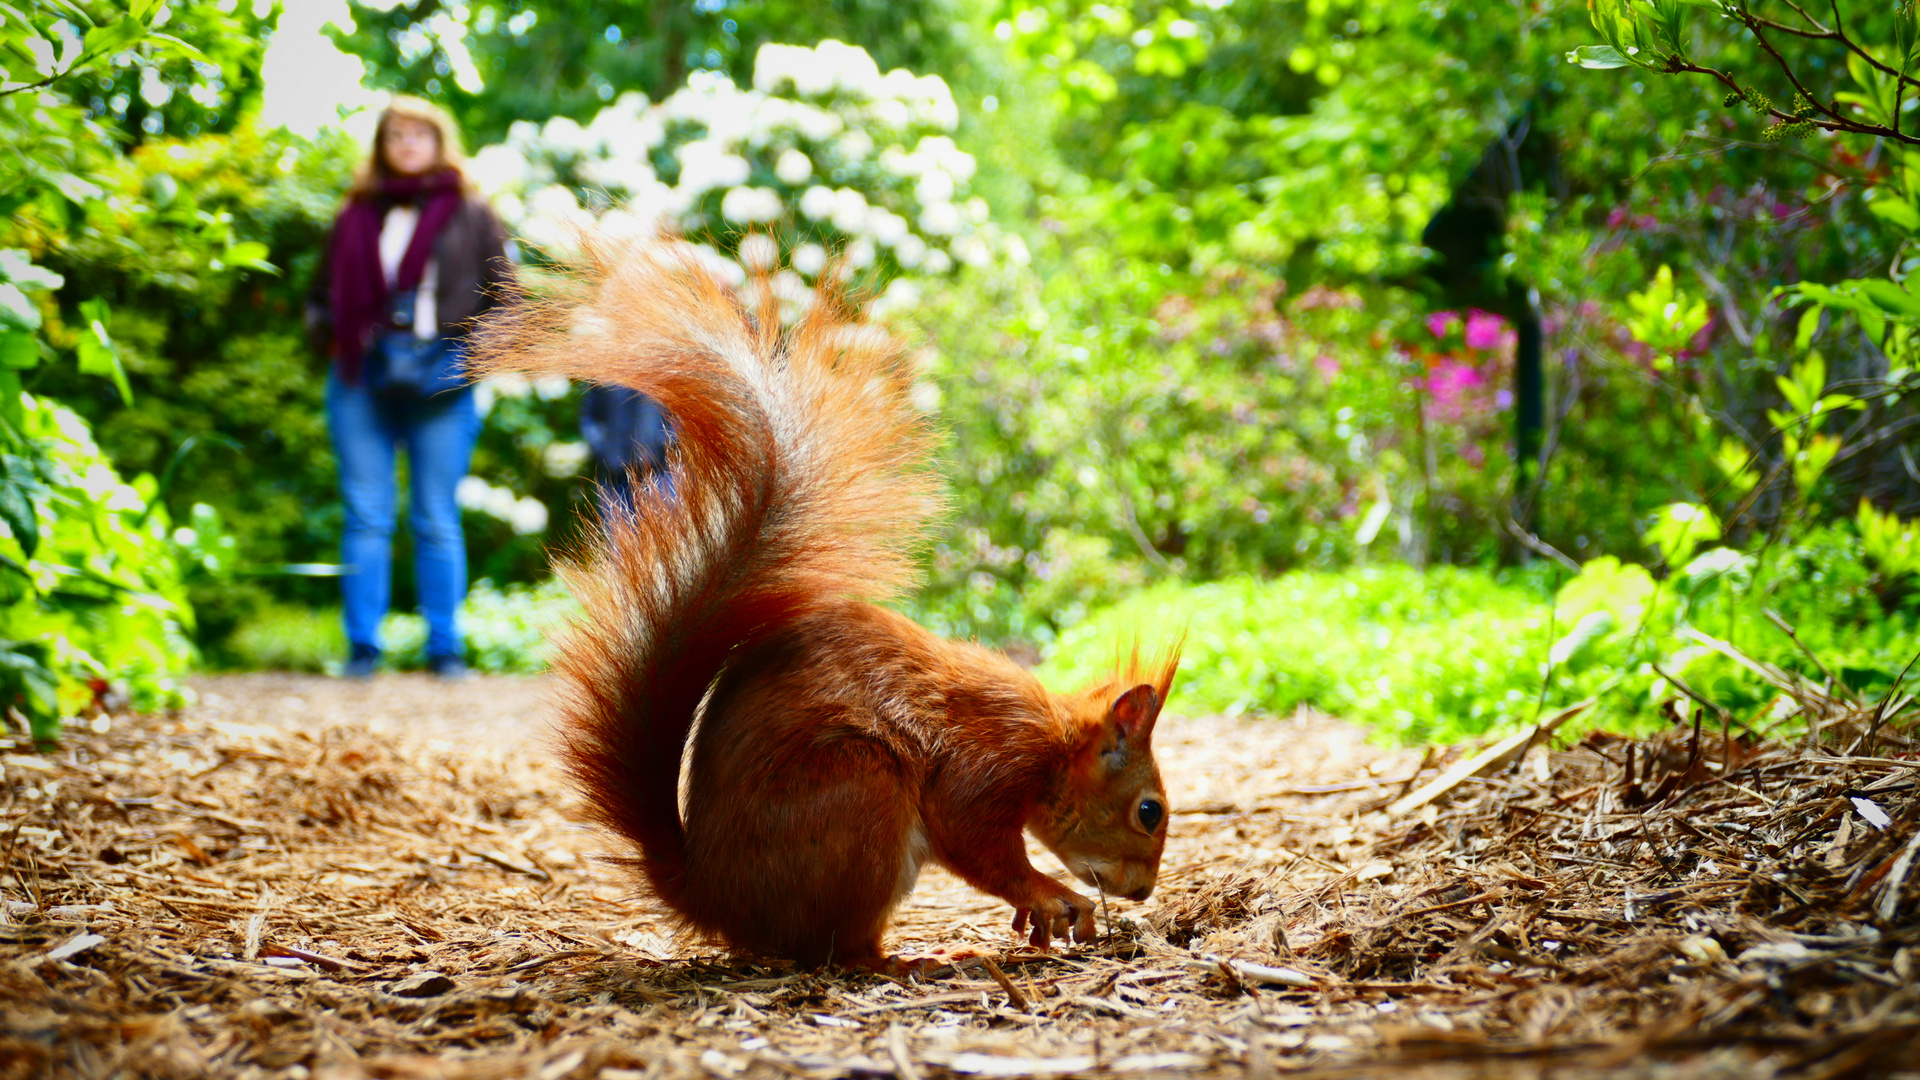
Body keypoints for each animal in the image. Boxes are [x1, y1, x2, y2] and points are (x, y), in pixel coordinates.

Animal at [472, 237, 1175, 968]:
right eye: (1148, 810)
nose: (1145, 892)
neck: (1055, 743)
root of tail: (713, 898)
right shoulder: (994, 756)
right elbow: (973, 839)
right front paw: (1053, 898)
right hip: (860, 789)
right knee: (842, 948)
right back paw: (912, 960)